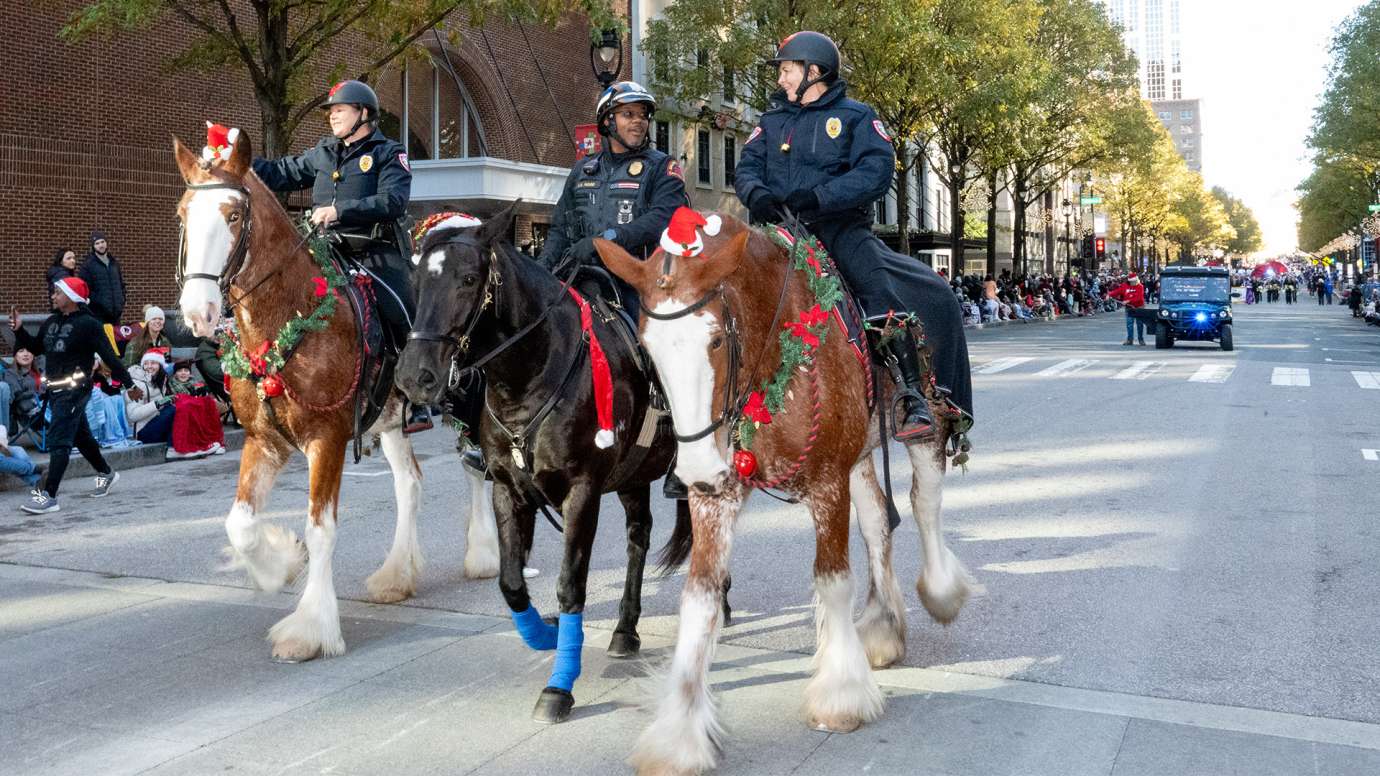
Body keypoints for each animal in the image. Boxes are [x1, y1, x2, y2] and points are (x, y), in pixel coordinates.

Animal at [169, 129, 499, 662]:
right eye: (184, 214)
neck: (290, 318)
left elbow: (320, 530)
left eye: (234, 216)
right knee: (410, 484)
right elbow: (240, 525)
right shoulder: (263, 439)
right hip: (394, 420)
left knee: (477, 467)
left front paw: (310, 628)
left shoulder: (327, 438)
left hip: (469, 401)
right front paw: (278, 565)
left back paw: (485, 554)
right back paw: (396, 575)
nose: (198, 312)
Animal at [397, 202, 701, 723]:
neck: (529, 376)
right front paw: (543, 632)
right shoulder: (507, 489)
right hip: (633, 478)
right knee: (638, 539)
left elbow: (570, 585)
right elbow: (511, 583)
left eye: (469, 278)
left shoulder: (582, 493)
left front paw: (559, 685)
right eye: (415, 280)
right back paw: (625, 630)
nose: (416, 375)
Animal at [598, 212, 977, 773]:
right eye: (647, 347)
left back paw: (941, 592)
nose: (694, 468)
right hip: (860, 453)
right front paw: (678, 735)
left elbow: (833, 580)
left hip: (927, 428)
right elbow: (700, 600)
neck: (775, 352)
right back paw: (882, 629)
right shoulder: (719, 493)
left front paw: (841, 694)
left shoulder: (827, 481)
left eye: (716, 340)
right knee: (878, 524)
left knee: (924, 505)